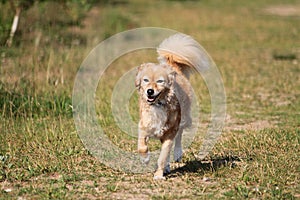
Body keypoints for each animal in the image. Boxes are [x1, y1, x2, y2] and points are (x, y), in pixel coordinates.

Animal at [135, 33, 207, 180]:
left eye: (160, 81)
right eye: (145, 80)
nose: (149, 91)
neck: (158, 105)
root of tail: (172, 66)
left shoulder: (169, 133)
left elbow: (163, 157)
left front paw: (158, 175)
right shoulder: (144, 126)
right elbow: (142, 146)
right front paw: (145, 159)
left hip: (183, 118)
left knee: (179, 135)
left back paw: (177, 154)